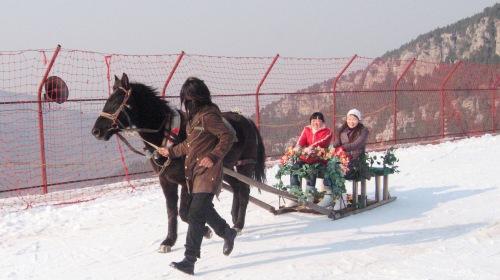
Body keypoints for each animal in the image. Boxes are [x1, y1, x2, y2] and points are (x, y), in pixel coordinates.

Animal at [93, 73, 266, 253]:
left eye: (117, 101)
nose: (96, 131)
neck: (169, 136)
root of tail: (246, 120)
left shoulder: (185, 180)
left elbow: (184, 212)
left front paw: (205, 231)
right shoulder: (166, 180)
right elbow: (171, 211)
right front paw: (169, 240)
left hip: (244, 164)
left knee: (244, 190)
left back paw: (238, 224)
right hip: (225, 168)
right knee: (237, 187)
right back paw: (234, 218)